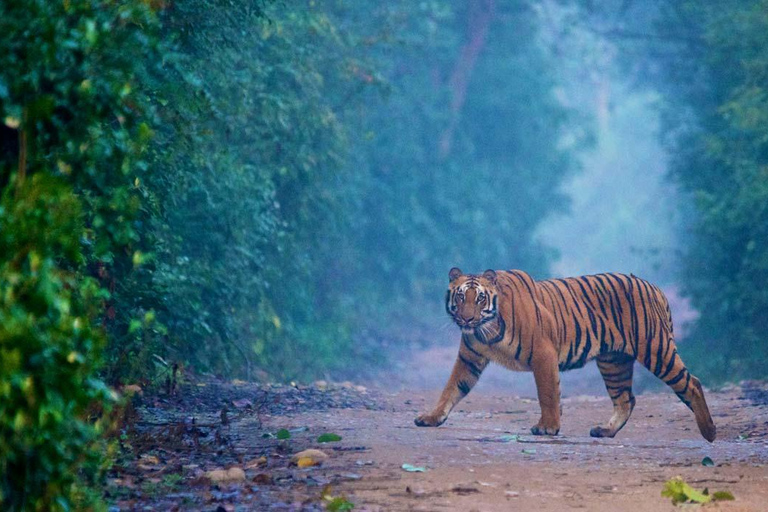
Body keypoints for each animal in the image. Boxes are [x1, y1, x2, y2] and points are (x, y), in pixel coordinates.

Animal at [416, 270, 716, 442]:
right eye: (460, 297)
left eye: (479, 298)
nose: (466, 319)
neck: (486, 330)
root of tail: (655, 287)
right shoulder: (469, 359)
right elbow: (451, 389)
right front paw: (431, 418)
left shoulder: (543, 354)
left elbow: (548, 393)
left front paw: (548, 427)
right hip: (613, 362)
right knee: (625, 399)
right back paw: (605, 431)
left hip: (656, 349)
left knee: (692, 383)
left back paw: (709, 432)